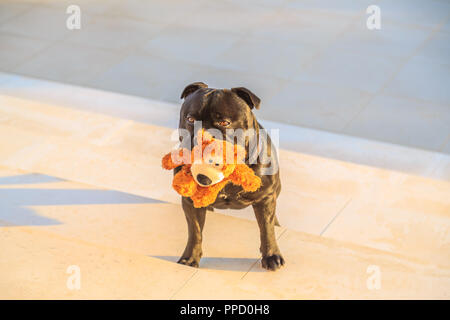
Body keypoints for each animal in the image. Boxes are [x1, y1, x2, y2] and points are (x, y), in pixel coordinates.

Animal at [174, 82, 284, 270]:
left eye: (224, 122)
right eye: (190, 120)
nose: (203, 138)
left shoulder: (266, 198)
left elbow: (267, 229)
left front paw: (271, 255)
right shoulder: (190, 202)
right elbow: (195, 232)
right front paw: (190, 258)